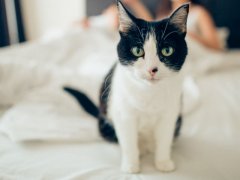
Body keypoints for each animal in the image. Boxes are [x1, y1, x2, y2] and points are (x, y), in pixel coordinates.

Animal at [64, 0, 189, 174]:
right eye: (137, 50)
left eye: (167, 50)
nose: (152, 69)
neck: (149, 93)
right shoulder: (124, 114)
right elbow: (129, 142)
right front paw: (131, 166)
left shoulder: (169, 114)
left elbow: (164, 139)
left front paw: (163, 162)